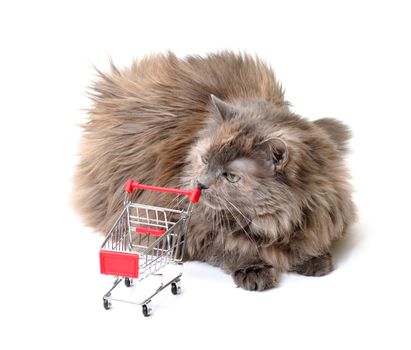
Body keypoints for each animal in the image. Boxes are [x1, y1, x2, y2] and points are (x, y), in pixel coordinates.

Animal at [74, 51, 358, 290]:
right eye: (205, 160)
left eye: (231, 176)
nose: (200, 183)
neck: (273, 222)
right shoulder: (181, 230)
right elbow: (227, 247)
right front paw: (253, 269)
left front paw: (313, 258)